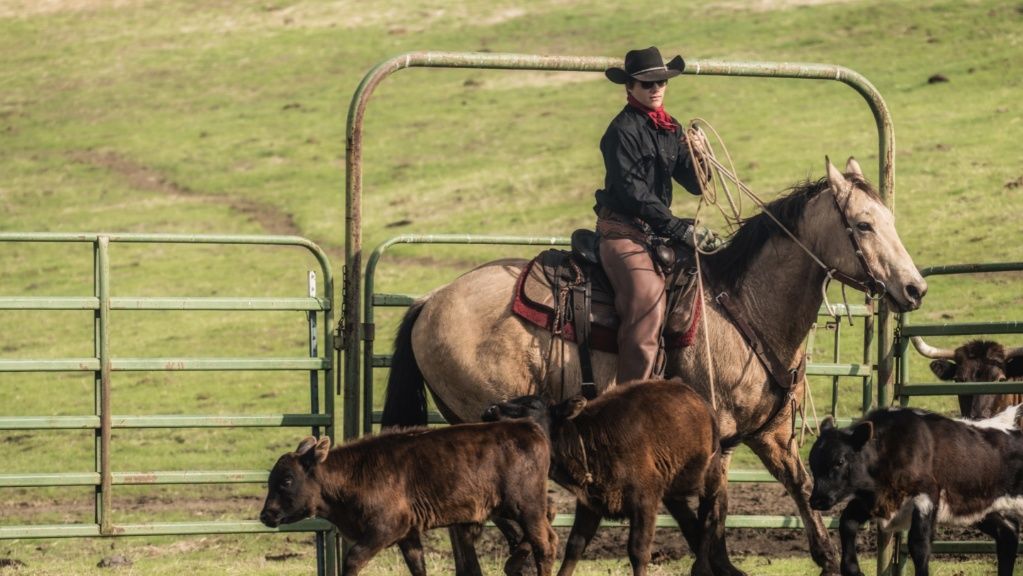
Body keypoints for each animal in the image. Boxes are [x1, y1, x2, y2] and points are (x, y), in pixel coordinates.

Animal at [259, 423, 556, 576]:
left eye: (286, 480)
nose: (266, 515)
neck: (353, 474)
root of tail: (528, 428)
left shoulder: (385, 528)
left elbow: (353, 559)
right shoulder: (408, 535)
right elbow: (418, 567)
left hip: (525, 507)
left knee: (544, 545)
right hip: (512, 509)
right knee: (548, 531)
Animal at [480, 378, 744, 576]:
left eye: (532, 405)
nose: (490, 410)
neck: (588, 437)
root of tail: (701, 401)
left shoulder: (645, 501)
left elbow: (638, 551)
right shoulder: (590, 503)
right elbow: (575, 545)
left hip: (710, 477)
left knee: (709, 516)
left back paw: (701, 568)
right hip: (674, 494)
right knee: (691, 522)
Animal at [810, 405, 1018, 576]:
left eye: (839, 461)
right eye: (812, 463)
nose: (816, 500)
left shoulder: (926, 496)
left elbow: (919, 545)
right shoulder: (876, 500)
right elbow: (847, 522)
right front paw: (853, 569)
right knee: (1007, 534)